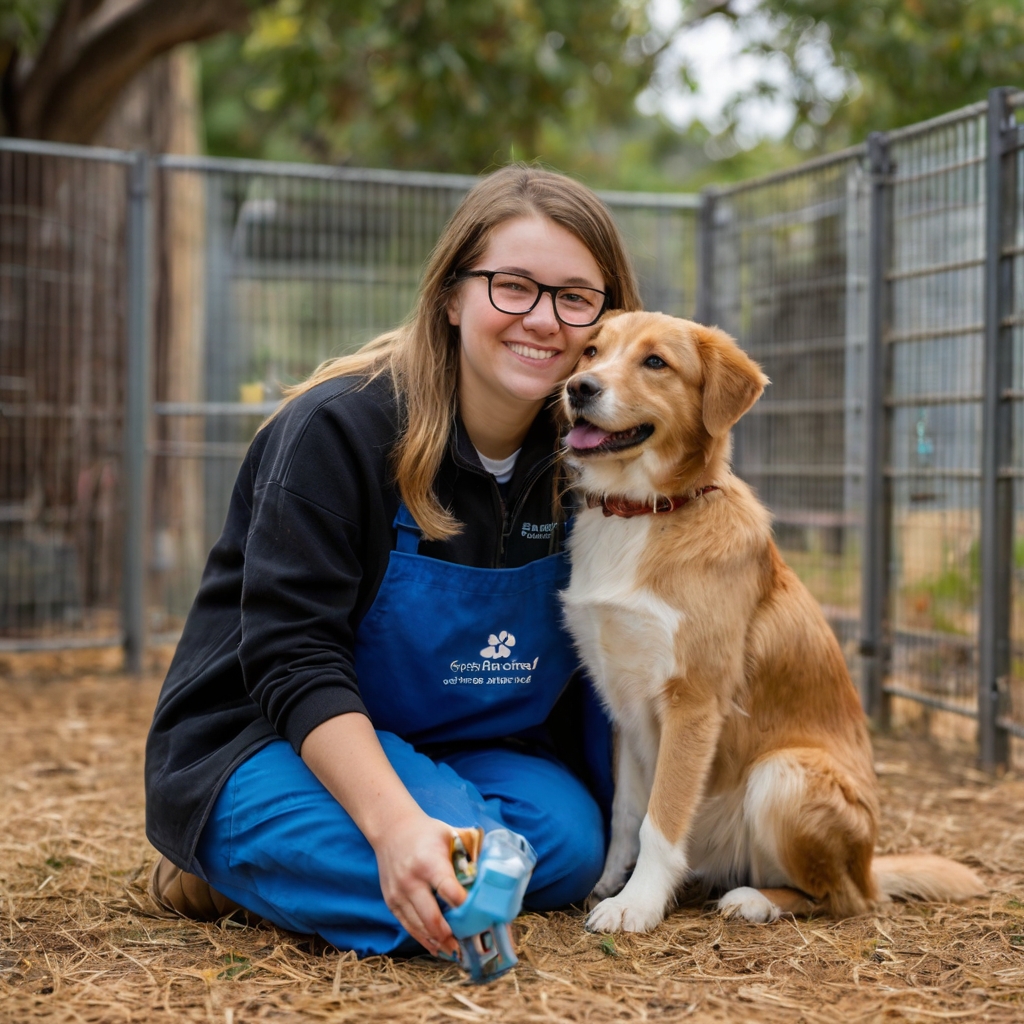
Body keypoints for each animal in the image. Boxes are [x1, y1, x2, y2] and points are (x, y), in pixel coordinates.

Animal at [561, 307, 983, 933]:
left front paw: (637, 904)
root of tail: (870, 866)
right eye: (591, 351)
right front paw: (612, 883)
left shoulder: (694, 703)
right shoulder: (623, 704)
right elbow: (624, 813)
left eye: (655, 362)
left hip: (782, 775)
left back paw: (755, 900)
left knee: (843, 899)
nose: (578, 388)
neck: (643, 512)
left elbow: (661, 820)